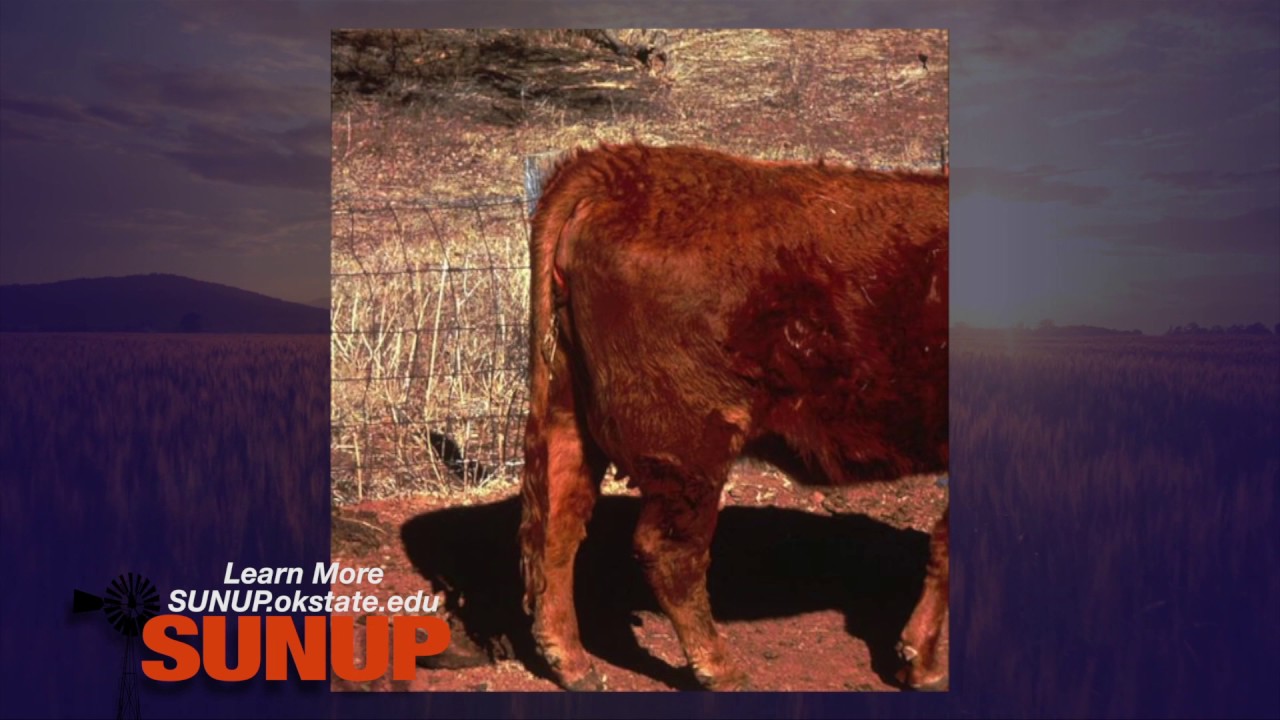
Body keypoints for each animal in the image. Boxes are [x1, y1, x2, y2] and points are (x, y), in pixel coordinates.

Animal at [518, 142, 949, 691]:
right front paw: (924, 663)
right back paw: (721, 669)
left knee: (559, 524)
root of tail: (617, 167)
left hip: (569, 415)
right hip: (690, 446)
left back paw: (571, 663)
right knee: (669, 552)